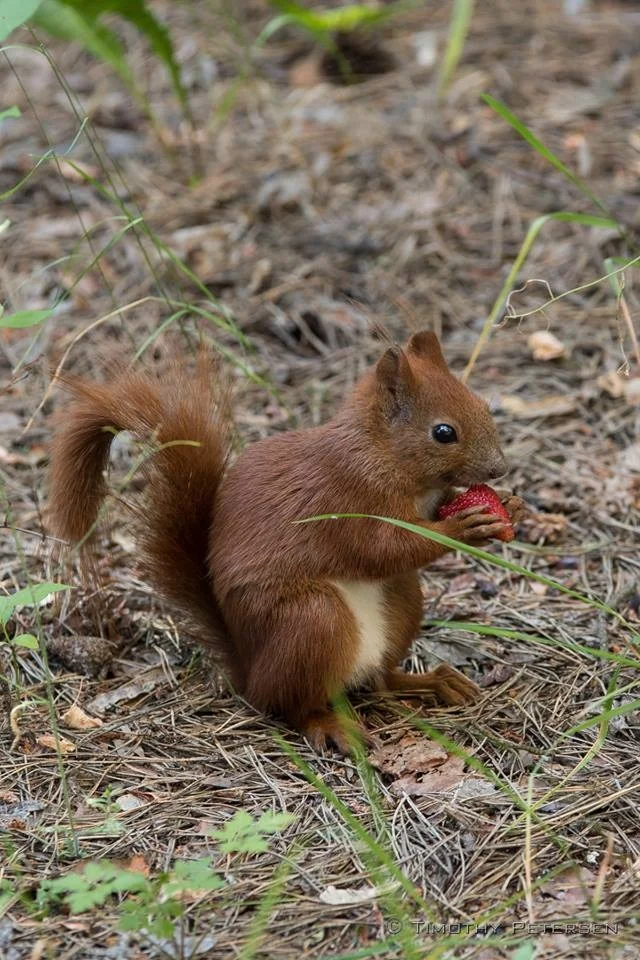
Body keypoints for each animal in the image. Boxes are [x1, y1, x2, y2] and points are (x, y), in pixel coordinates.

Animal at [48, 331, 522, 753]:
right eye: (443, 432)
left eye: (483, 405)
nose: (499, 468)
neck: (382, 453)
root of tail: (250, 671)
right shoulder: (347, 497)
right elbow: (385, 548)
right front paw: (463, 528)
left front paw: (508, 505)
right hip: (310, 620)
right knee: (294, 705)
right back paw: (331, 726)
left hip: (402, 600)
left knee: (379, 681)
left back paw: (431, 682)